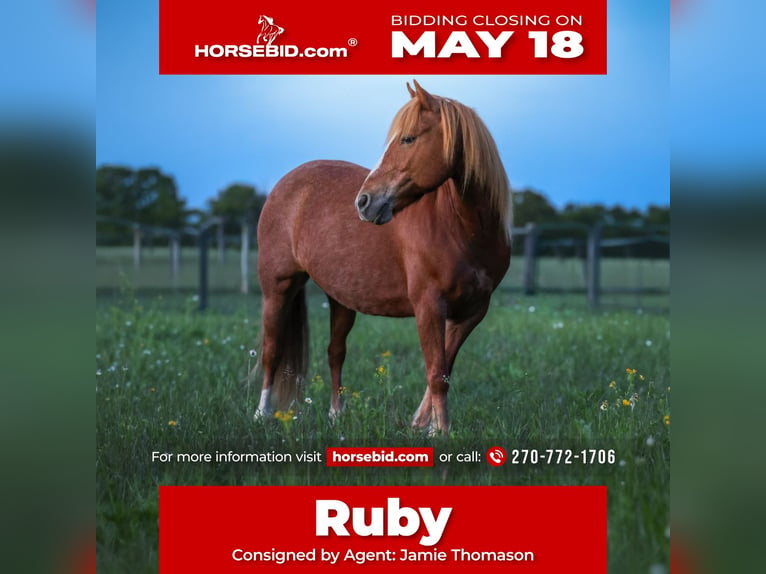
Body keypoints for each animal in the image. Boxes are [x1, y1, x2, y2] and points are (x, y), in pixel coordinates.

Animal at [254, 80, 512, 433]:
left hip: (341, 298)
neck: (464, 231)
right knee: (272, 350)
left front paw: (424, 425)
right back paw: (262, 414)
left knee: (335, 352)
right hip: (277, 287)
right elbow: (436, 373)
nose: (364, 202)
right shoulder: (428, 307)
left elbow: (444, 369)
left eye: (408, 139)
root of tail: (284, 184)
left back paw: (336, 415)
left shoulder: (471, 313)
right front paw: (441, 432)